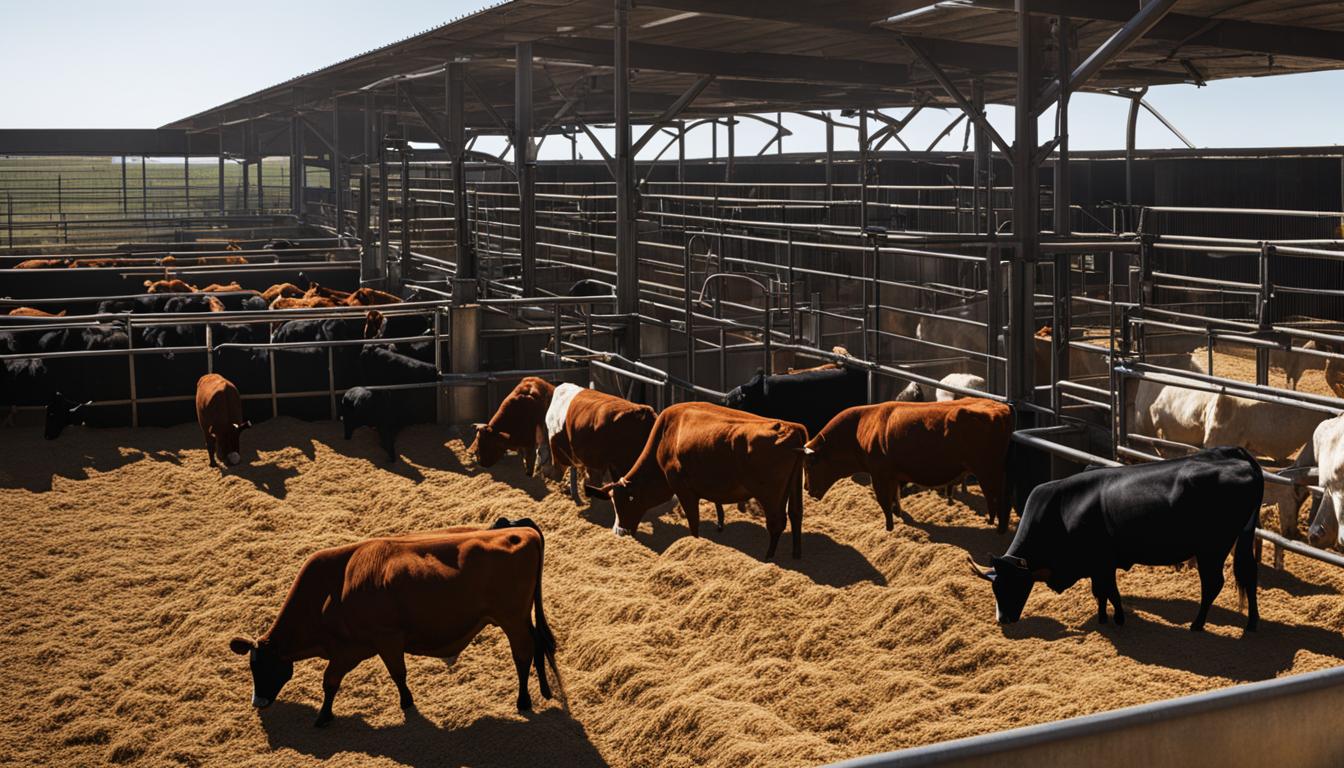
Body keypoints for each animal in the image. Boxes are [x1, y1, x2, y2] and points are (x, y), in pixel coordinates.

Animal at [228, 519, 553, 731]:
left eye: (263, 666)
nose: (258, 702)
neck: (332, 590)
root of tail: (520, 530)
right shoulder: (357, 647)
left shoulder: (378, 641)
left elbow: (345, 678)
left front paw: (324, 716)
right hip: (521, 618)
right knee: (538, 643)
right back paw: (544, 691)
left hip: (511, 618)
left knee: (522, 654)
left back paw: (523, 701)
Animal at [591, 403, 801, 559]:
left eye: (626, 501)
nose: (620, 532)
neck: (665, 436)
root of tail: (791, 428)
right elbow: (716, 507)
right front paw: (719, 525)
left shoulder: (683, 488)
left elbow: (693, 520)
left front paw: (693, 543)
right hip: (793, 488)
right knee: (795, 516)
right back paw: (795, 554)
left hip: (770, 495)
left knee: (776, 522)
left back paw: (768, 557)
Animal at [795, 400, 1010, 532]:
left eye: (809, 464)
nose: (806, 488)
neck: (861, 427)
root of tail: (1000, 408)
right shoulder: (893, 476)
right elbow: (894, 500)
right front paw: (898, 519)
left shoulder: (880, 475)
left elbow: (884, 502)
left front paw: (888, 528)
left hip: (987, 471)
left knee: (995, 499)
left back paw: (992, 526)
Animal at [967, 446, 1257, 634]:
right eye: (994, 588)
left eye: (1012, 584)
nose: (1003, 619)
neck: (1061, 509)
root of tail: (1238, 457)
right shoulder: (1098, 565)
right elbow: (1102, 591)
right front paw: (1103, 617)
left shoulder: (1102, 562)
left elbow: (1109, 591)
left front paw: (1116, 619)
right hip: (1240, 541)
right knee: (1249, 577)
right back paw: (1252, 624)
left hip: (1212, 549)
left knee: (1213, 584)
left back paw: (1197, 625)